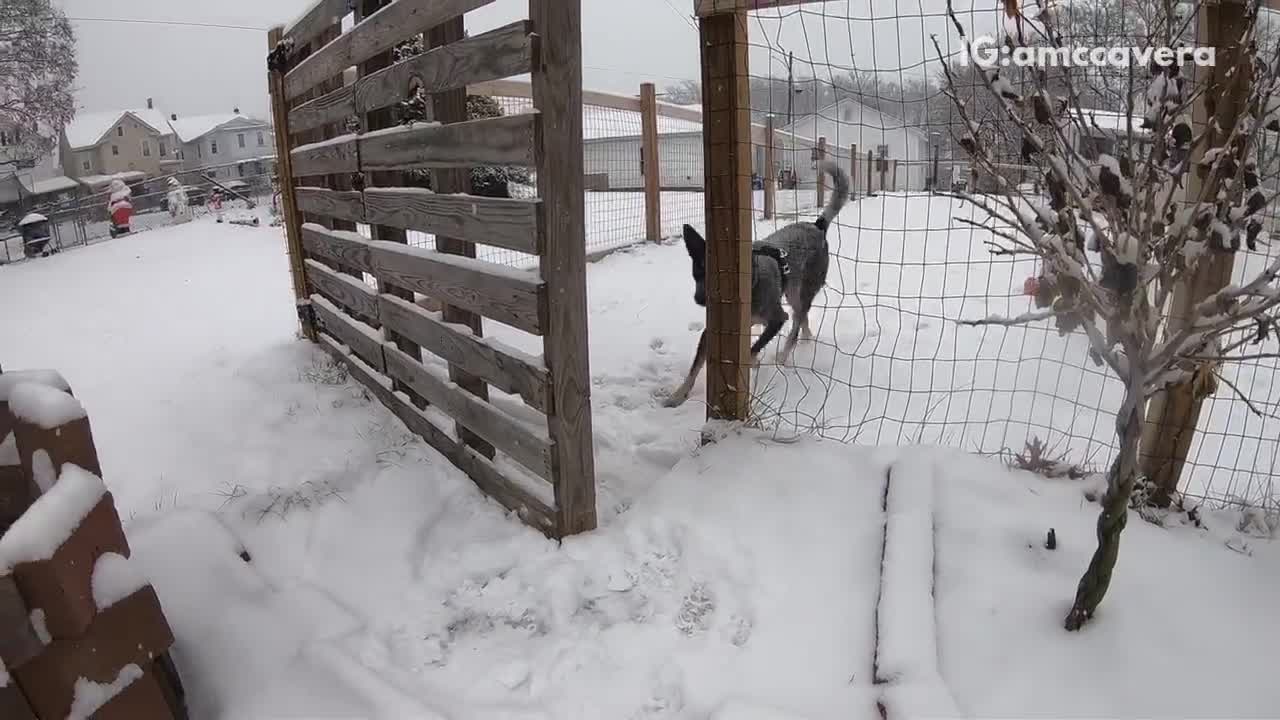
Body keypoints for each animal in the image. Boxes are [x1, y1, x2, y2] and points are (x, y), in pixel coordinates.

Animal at [660, 160, 849, 407]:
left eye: (722, 274)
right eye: (699, 269)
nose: (699, 299)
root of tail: (817, 226)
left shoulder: (777, 319)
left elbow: (752, 349)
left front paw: (752, 362)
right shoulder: (713, 330)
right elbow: (695, 367)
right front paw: (678, 395)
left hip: (802, 291)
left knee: (797, 320)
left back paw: (785, 354)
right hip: (792, 291)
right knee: (802, 318)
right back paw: (806, 338)